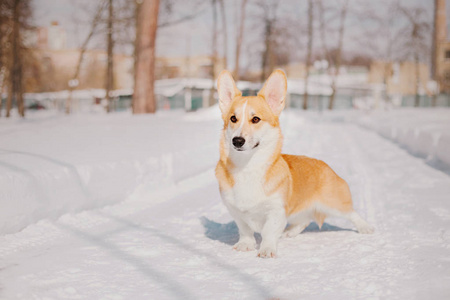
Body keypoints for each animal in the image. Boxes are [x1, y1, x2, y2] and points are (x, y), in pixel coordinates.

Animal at [214, 69, 372, 258]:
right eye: (233, 118)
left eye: (256, 119)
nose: (237, 141)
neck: (247, 167)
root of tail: (328, 167)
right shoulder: (236, 211)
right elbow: (245, 229)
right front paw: (245, 245)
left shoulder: (276, 210)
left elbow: (269, 231)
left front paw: (266, 250)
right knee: (305, 220)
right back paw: (290, 231)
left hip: (334, 204)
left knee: (351, 213)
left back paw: (366, 227)